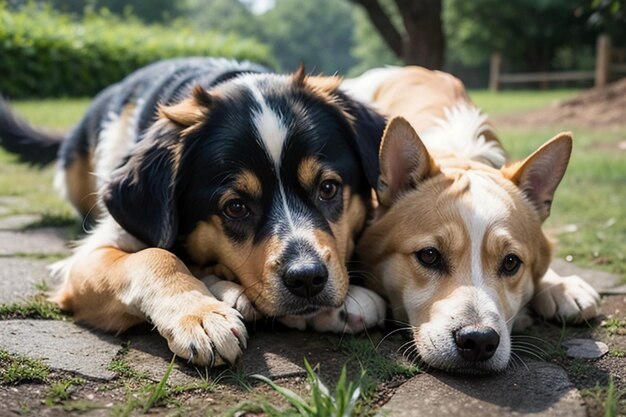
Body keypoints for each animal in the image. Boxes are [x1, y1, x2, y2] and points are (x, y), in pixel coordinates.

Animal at [0, 57, 386, 364]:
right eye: (235, 207)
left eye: (328, 188)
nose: (306, 278)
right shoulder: (90, 258)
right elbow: (155, 256)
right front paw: (200, 315)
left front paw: (343, 304)